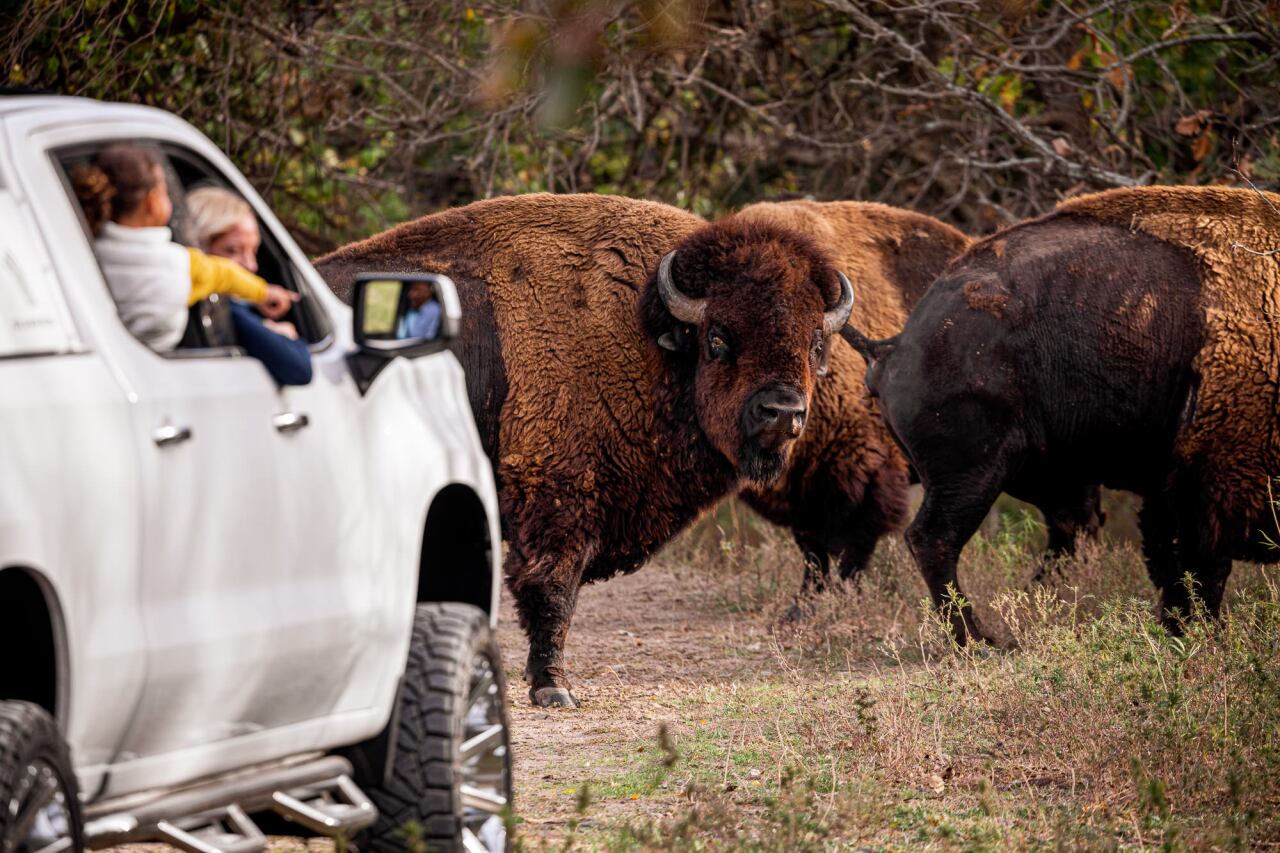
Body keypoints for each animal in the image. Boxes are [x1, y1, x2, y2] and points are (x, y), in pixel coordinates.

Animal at [318, 193, 853, 705]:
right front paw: (552, 687)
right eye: (719, 337)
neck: (648, 330)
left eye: (814, 342)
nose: (782, 412)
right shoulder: (559, 500)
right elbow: (553, 591)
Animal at [844, 185, 1280, 641]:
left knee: (1065, 531)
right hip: (975, 473)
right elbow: (1201, 571)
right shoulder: (1216, 486)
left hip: (1043, 473)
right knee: (934, 539)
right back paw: (980, 641)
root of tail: (893, 348)